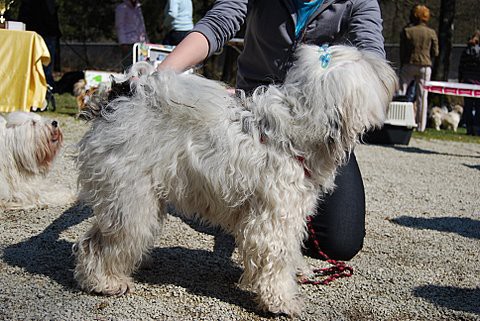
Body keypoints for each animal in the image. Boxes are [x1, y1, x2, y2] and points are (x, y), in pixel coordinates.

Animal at [75, 44, 398, 316]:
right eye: (366, 64)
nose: (390, 73)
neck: (297, 132)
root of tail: (117, 100)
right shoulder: (273, 221)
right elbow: (274, 261)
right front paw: (281, 301)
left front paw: (297, 272)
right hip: (130, 201)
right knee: (98, 244)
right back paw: (104, 282)